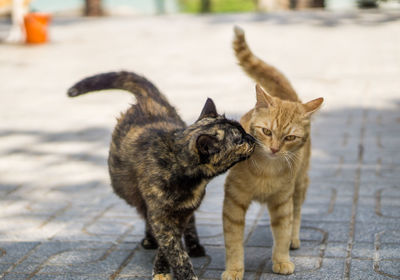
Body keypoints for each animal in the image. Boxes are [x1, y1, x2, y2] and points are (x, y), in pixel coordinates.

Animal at [67, 71, 255, 280]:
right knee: (143, 212)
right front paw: (180, 273)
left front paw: (163, 268)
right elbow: (174, 250)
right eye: (239, 141)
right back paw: (151, 239)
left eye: (243, 130)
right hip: (128, 191)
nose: (252, 138)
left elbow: (171, 245)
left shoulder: (180, 214)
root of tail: (149, 98)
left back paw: (194, 245)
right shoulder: (161, 216)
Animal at [220, 27, 324, 278]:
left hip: (300, 184)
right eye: (266, 131)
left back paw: (294, 240)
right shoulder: (233, 203)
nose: (275, 148)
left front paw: (282, 259)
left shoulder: (281, 201)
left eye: (290, 138)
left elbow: (283, 231)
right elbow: (233, 242)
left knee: (296, 213)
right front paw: (234, 269)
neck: (266, 170)